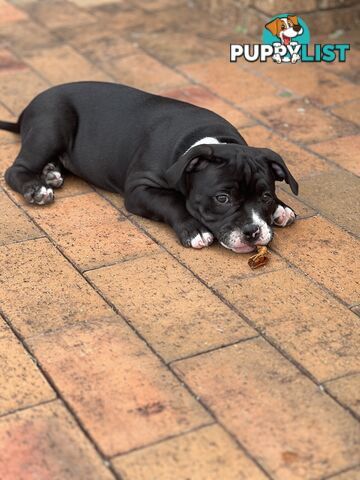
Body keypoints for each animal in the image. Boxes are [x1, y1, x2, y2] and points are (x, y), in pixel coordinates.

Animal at [0, 81, 298, 255]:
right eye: (222, 198)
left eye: (266, 196)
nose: (253, 232)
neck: (205, 140)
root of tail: (27, 109)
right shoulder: (139, 190)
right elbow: (172, 201)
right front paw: (194, 230)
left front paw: (282, 208)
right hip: (52, 125)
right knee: (15, 170)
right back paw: (37, 187)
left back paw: (51, 173)